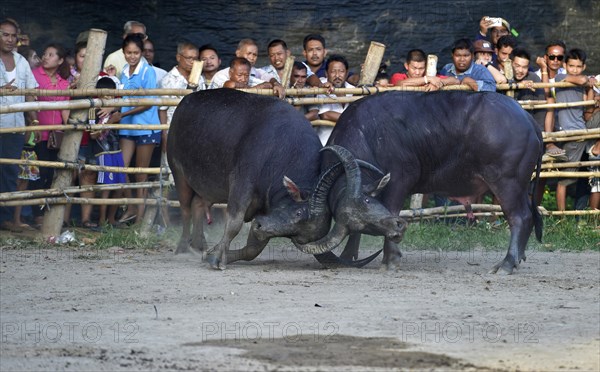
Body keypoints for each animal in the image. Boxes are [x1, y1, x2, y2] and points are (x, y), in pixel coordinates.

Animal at [166, 90, 406, 270]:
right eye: (298, 213)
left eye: (296, 237)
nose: (260, 226)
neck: (281, 150)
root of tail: (184, 102)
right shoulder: (242, 183)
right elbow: (234, 223)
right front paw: (217, 258)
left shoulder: (265, 208)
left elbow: (253, 249)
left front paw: (211, 253)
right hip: (178, 171)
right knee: (186, 209)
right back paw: (182, 248)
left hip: (205, 187)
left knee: (198, 205)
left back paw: (199, 245)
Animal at [310, 91, 544, 274]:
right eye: (361, 221)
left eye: (368, 203)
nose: (398, 232)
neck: (368, 135)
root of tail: (526, 117)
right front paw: (349, 255)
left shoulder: (399, 182)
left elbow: (392, 210)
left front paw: (390, 261)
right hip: (520, 185)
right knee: (529, 215)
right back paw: (518, 258)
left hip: (506, 182)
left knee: (520, 217)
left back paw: (506, 264)